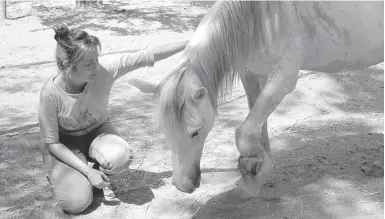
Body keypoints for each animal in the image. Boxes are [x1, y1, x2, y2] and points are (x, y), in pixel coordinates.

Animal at [128, 0, 380, 197]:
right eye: (164, 131)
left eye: (196, 132)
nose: (182, 185)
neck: (267, 17)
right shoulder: (250, 75)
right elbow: (258, 128)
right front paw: (257, 169)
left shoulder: (283, 80)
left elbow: (245, 132)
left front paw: (254, 174)